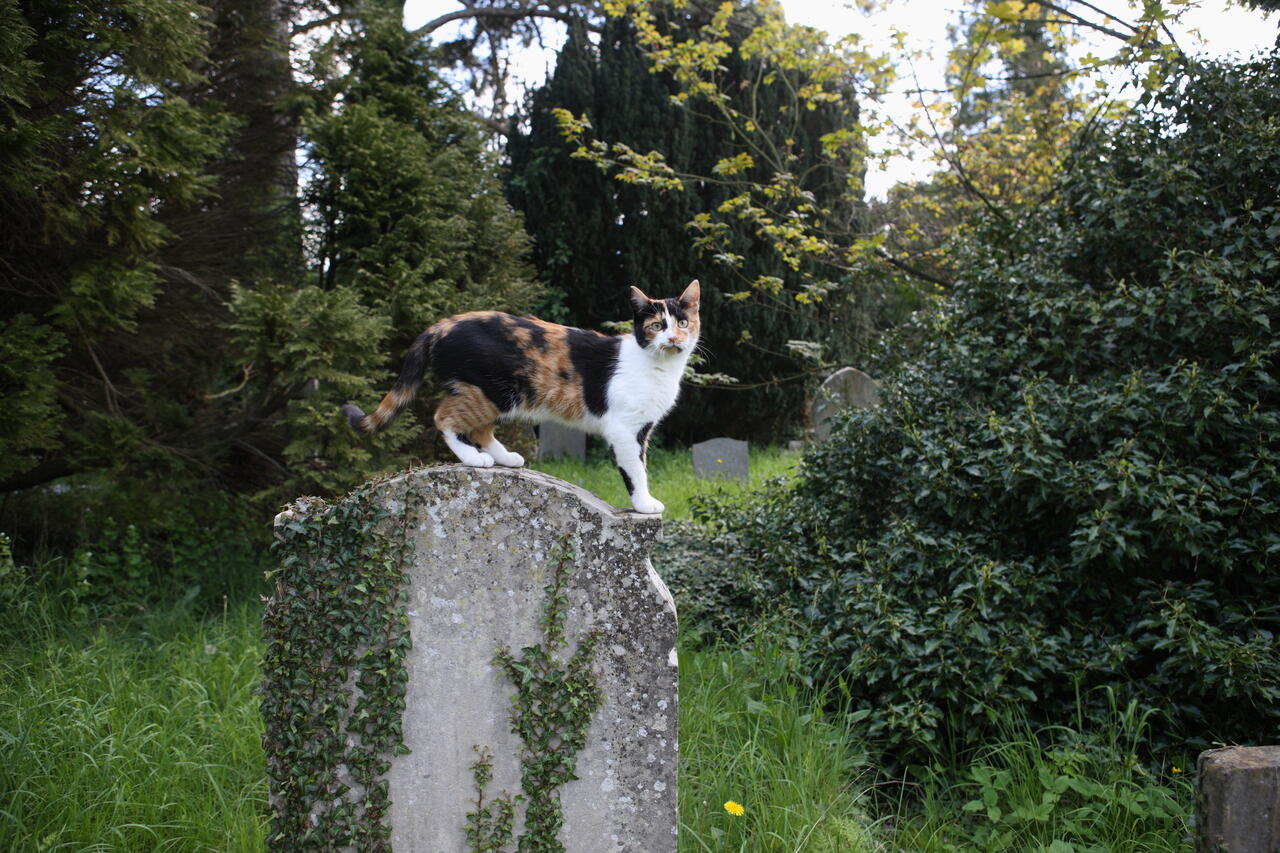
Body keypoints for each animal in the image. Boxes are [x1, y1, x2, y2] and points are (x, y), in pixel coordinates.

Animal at [341, 280, 701, 514]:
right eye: (656, 325)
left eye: (683, 322)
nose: (673, 338)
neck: (657, 366)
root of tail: (441, 325)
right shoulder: (625, 429)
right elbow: (636, 469)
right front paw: (644, 504)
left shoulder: (643, 427)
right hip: (492, 391)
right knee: (444, 418)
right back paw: (474, 459)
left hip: (501, 395)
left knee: (479, 429)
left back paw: (505, 458)